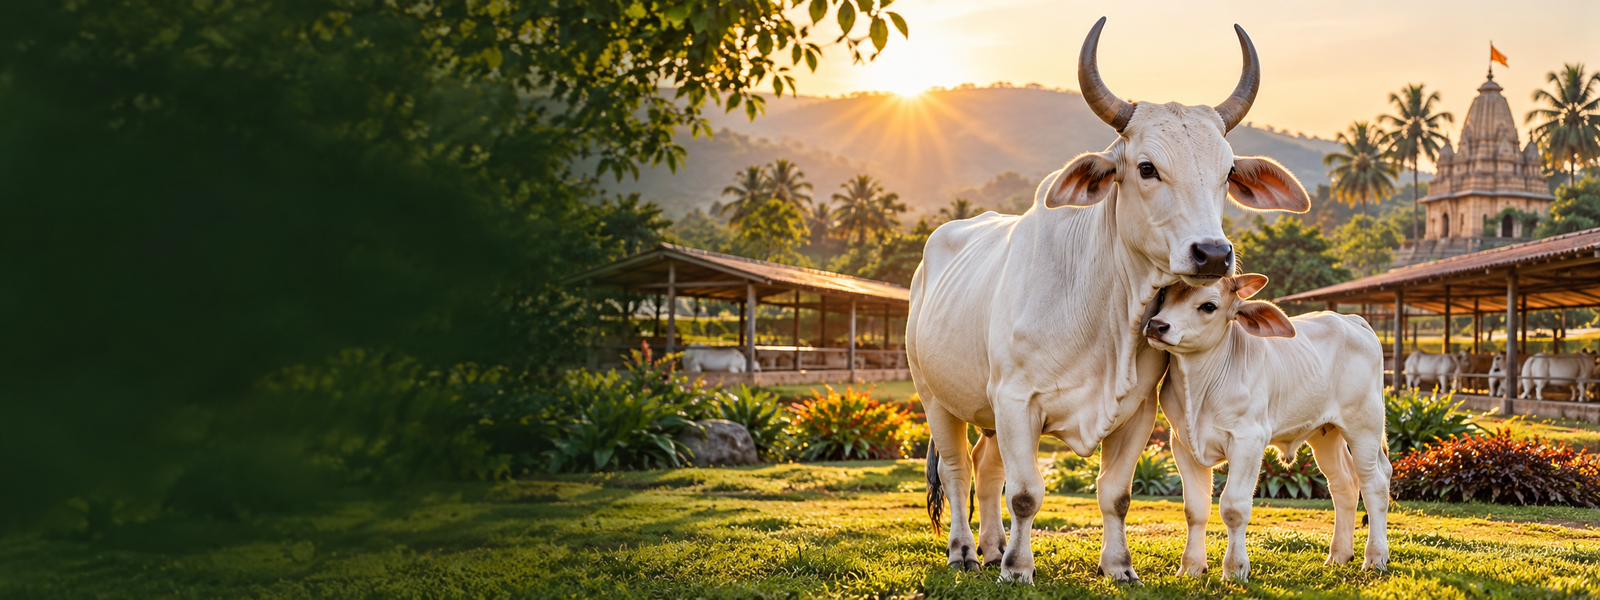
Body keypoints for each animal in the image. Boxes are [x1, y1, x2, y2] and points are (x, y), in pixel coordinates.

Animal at [908, 18, 1310, 583]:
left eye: (1229, 172)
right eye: (1146, 167)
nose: (1213, 253)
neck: (1103, 314)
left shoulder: (1137, 409)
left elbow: (1115, 495)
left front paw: (1119, 566)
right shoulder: (1015, 401)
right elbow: (1026, 494)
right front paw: (1019, 570)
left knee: (986, 472)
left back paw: (991, 548)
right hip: (934, 397)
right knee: (957, 470)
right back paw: (966, 551)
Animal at [1143, 274, 1390, 580]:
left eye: (1209, 306)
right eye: (1165, 295)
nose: (1156, 325)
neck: (1199, 389)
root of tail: (1352, 320)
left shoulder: (1248, 441)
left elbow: (1234, 507)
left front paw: (1235, 568)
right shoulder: (1182, 444)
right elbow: (1195, 509)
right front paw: (1191, 567)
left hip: (1364, 426)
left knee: (1374, 484)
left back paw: (1376, 557)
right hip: (1326, 432)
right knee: (1344, 484)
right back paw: (1338, 555)